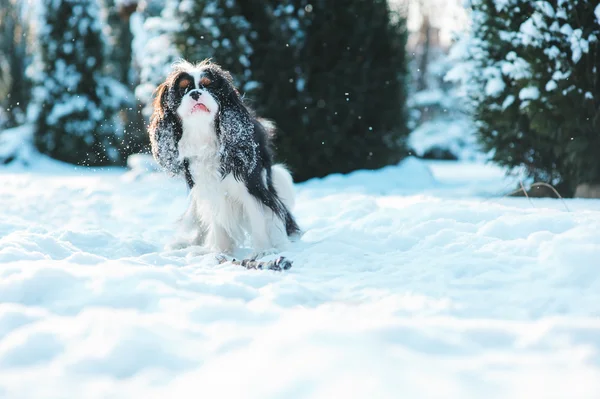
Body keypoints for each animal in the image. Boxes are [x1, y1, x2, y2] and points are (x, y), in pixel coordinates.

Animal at [148, 59, 302, 256]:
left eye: (208, 86)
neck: (203, 136)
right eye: (183, 89)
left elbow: (258, 217)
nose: (195, 93)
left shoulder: (251, 186)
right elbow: (217, 221)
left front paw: (263, 250)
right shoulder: (208, 189)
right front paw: (220, 251)